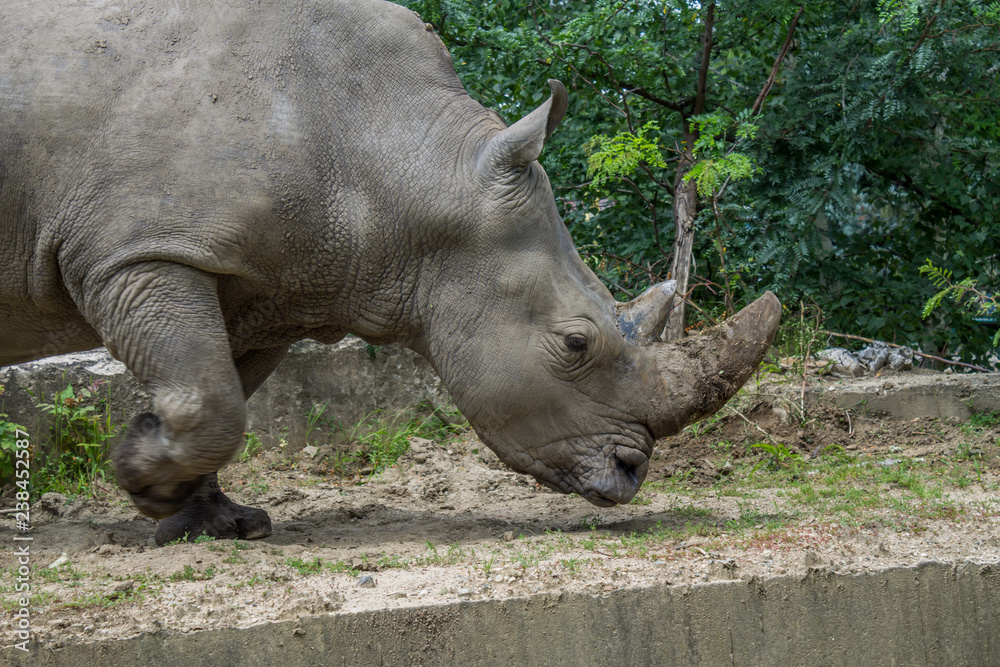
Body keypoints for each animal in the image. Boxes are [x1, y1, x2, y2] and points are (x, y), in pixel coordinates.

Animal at [0, 0, 780, 545]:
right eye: (574, 343)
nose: (631, 474)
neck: (400, 162)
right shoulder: (139, 250)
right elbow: (211, 396)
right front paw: (140, 471)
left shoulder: (266, 282)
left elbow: (220, 391)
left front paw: (209, 519)